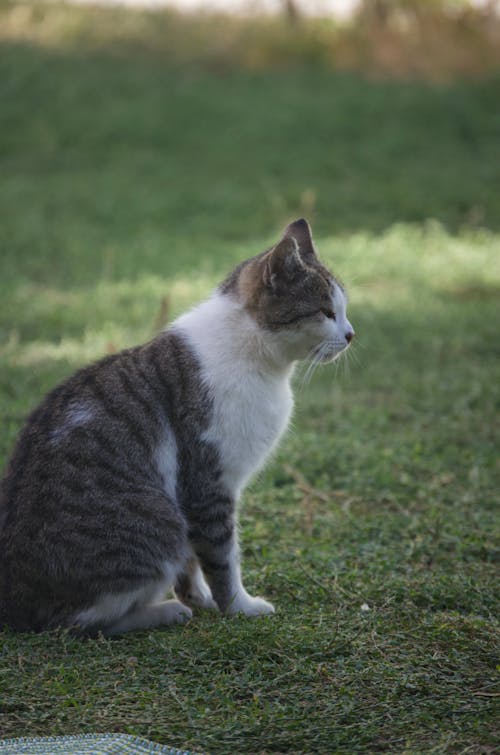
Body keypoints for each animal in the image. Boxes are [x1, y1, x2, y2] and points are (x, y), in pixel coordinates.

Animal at [0, 219, 354, 636]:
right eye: (326, 311)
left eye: (344, 310)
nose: (351, 334)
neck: (257, 356)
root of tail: (12, 602)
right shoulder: (208, 483)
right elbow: (222, 557)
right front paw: (238, 606)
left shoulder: (193, 495)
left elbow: (192, 561)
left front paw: (199, 597)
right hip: (160, 524)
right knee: (77, 623)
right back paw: (163, 611)